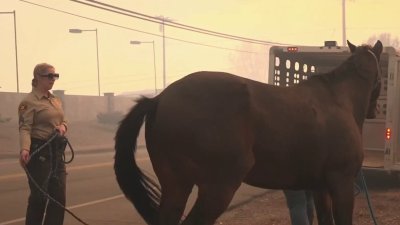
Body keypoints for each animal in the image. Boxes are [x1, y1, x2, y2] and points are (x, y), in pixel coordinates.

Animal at [114, 40, 382, 225]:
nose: (374, 110)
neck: (338, 100)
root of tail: (159, 99)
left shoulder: (320, 187)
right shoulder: (342, 183)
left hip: (176, 186)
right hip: (217, 187)